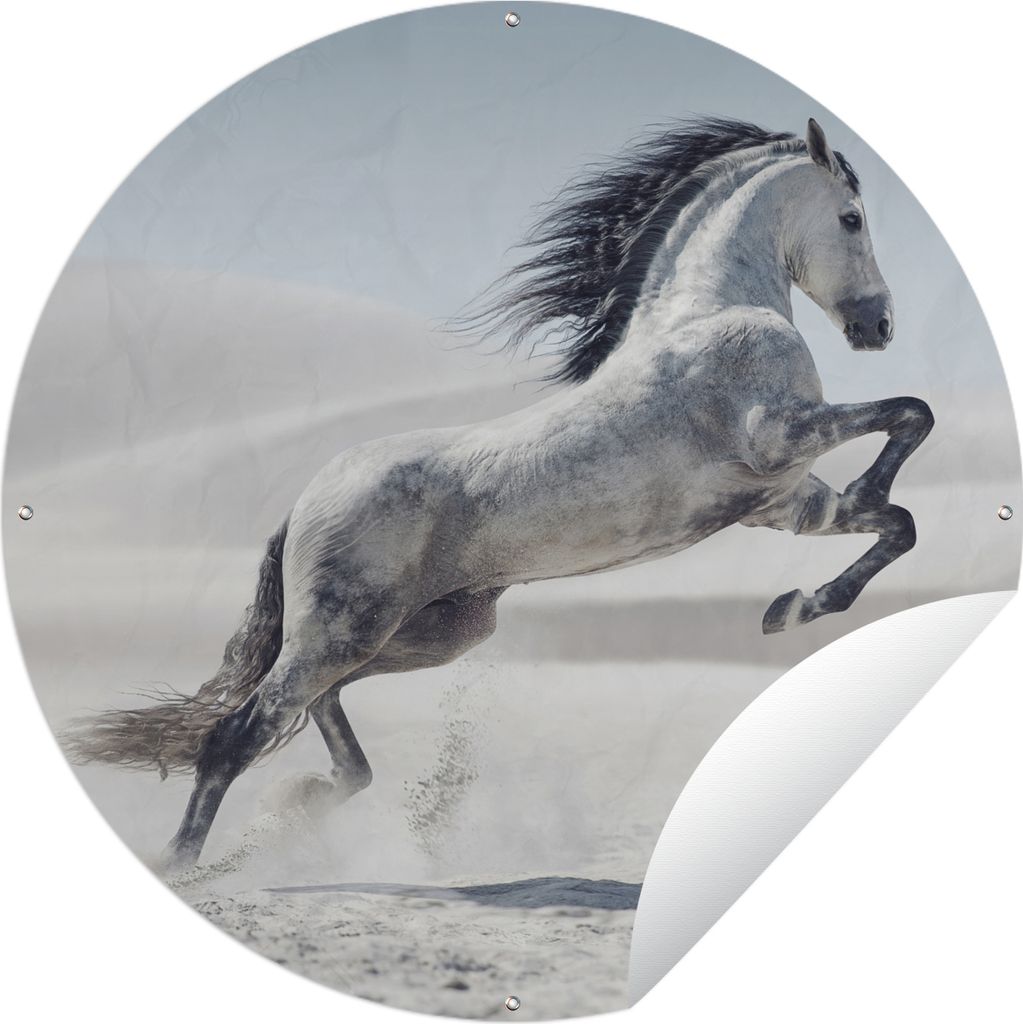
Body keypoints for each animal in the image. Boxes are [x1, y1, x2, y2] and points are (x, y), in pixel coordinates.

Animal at [65, 117, 933, 873]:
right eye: (852, 217)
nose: (879, 327)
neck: (710, 312)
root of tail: (305, 500)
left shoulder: (781, 501)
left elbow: (896, 522)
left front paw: (794, 607)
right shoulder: (778, 437)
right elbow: (910, 415)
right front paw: (813, 579)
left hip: (426, 633)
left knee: (317, 708)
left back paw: (306, 800)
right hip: (346, 629)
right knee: (239, 732)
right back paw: (186, 863)